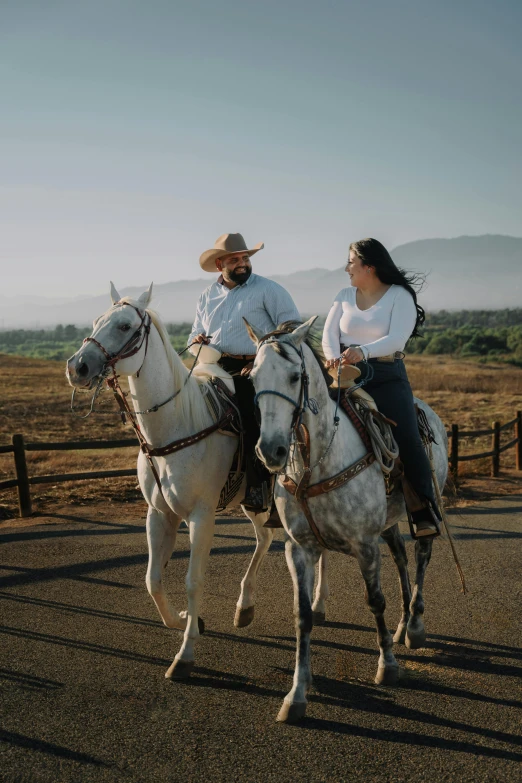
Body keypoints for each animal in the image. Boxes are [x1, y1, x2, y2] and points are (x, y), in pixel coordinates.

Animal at [64, 286, 324, 680]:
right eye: (96, 321)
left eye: (124, 326)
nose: (77, 366)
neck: (178, 426)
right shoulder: (159, 514)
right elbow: (152, 579)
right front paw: (186, 620)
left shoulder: (201, 517)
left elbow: (192, 580)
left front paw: (184, 655)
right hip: (252, 502)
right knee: (264, 539)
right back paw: (244, 607)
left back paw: (318, 604)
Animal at [245, 316, 446, 724]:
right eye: (253, 377)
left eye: (294, 376)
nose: (271, 450)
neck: (320, 459)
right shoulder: (299, 548)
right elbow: (302, 615)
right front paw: (297, 694)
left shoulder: (365, 545)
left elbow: (375, 601)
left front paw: (388, 666)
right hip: (389, 524)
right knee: (401, 557)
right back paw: (402, 625)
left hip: (423, 508)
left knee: (421, 556)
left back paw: (414, 627)